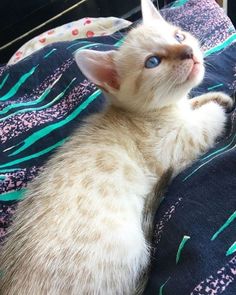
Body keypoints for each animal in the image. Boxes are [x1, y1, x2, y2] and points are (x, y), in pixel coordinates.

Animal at [0, 0, 233, 295]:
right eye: (153, 62)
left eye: (178, 37)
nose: (189, 52)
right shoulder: (179, 143)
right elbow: (207, 120)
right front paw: (220, 106)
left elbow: (194, 104)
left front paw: (215, 97)